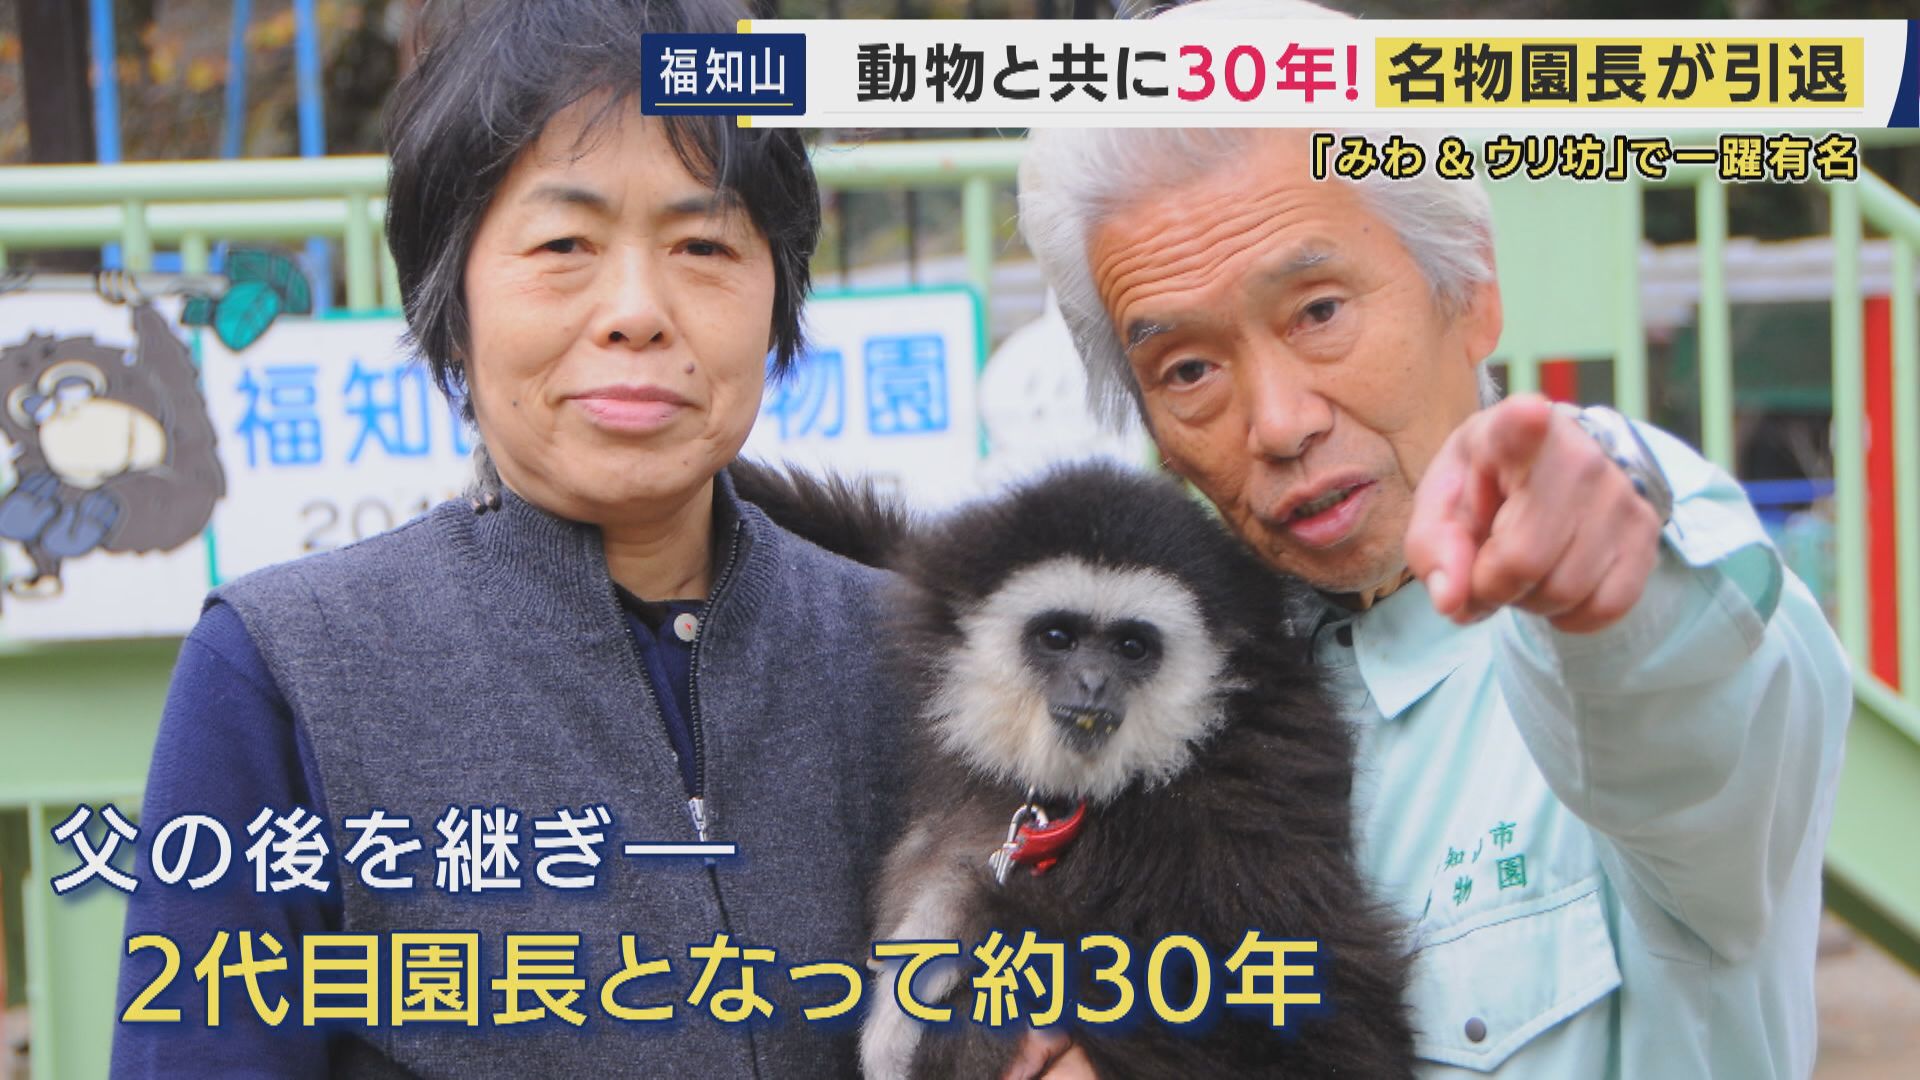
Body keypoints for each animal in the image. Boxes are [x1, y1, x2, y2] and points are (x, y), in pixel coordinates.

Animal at [729, 459, 1415, 1080]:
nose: (1092, 682)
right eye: (1058, 637)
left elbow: (1331, 1040)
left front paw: (973, 922)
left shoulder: (1250, 802)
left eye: (1132, 647)